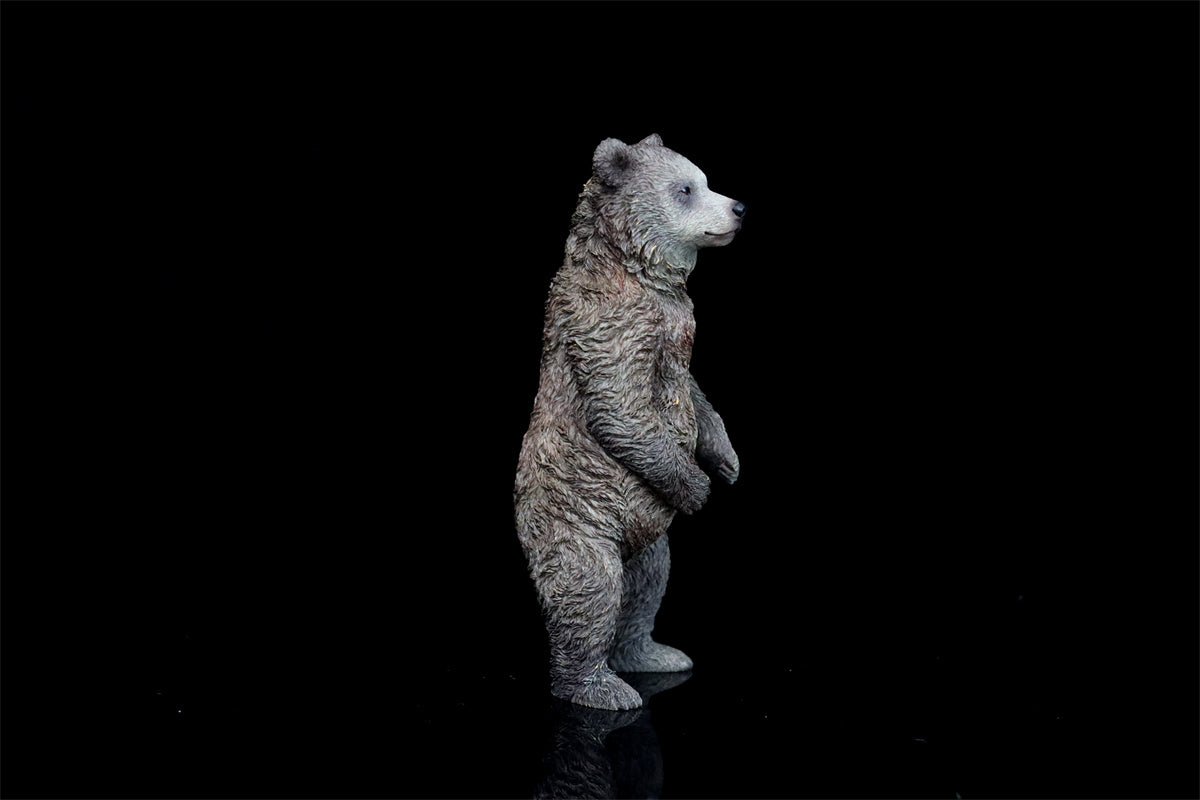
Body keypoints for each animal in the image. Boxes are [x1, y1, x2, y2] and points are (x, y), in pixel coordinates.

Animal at [514, 133, 743, 711]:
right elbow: (622, 409)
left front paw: (727, 459)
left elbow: (695, 393)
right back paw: (599, 686)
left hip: (647, 538)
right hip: (577, 517)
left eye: (705, 180)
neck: (640, 270)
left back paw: (651, 654)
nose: (739, 207)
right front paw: (696, 486)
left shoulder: (673, 326)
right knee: (590, 590)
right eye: (685, 188)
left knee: (647, 585)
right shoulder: (611, 323)